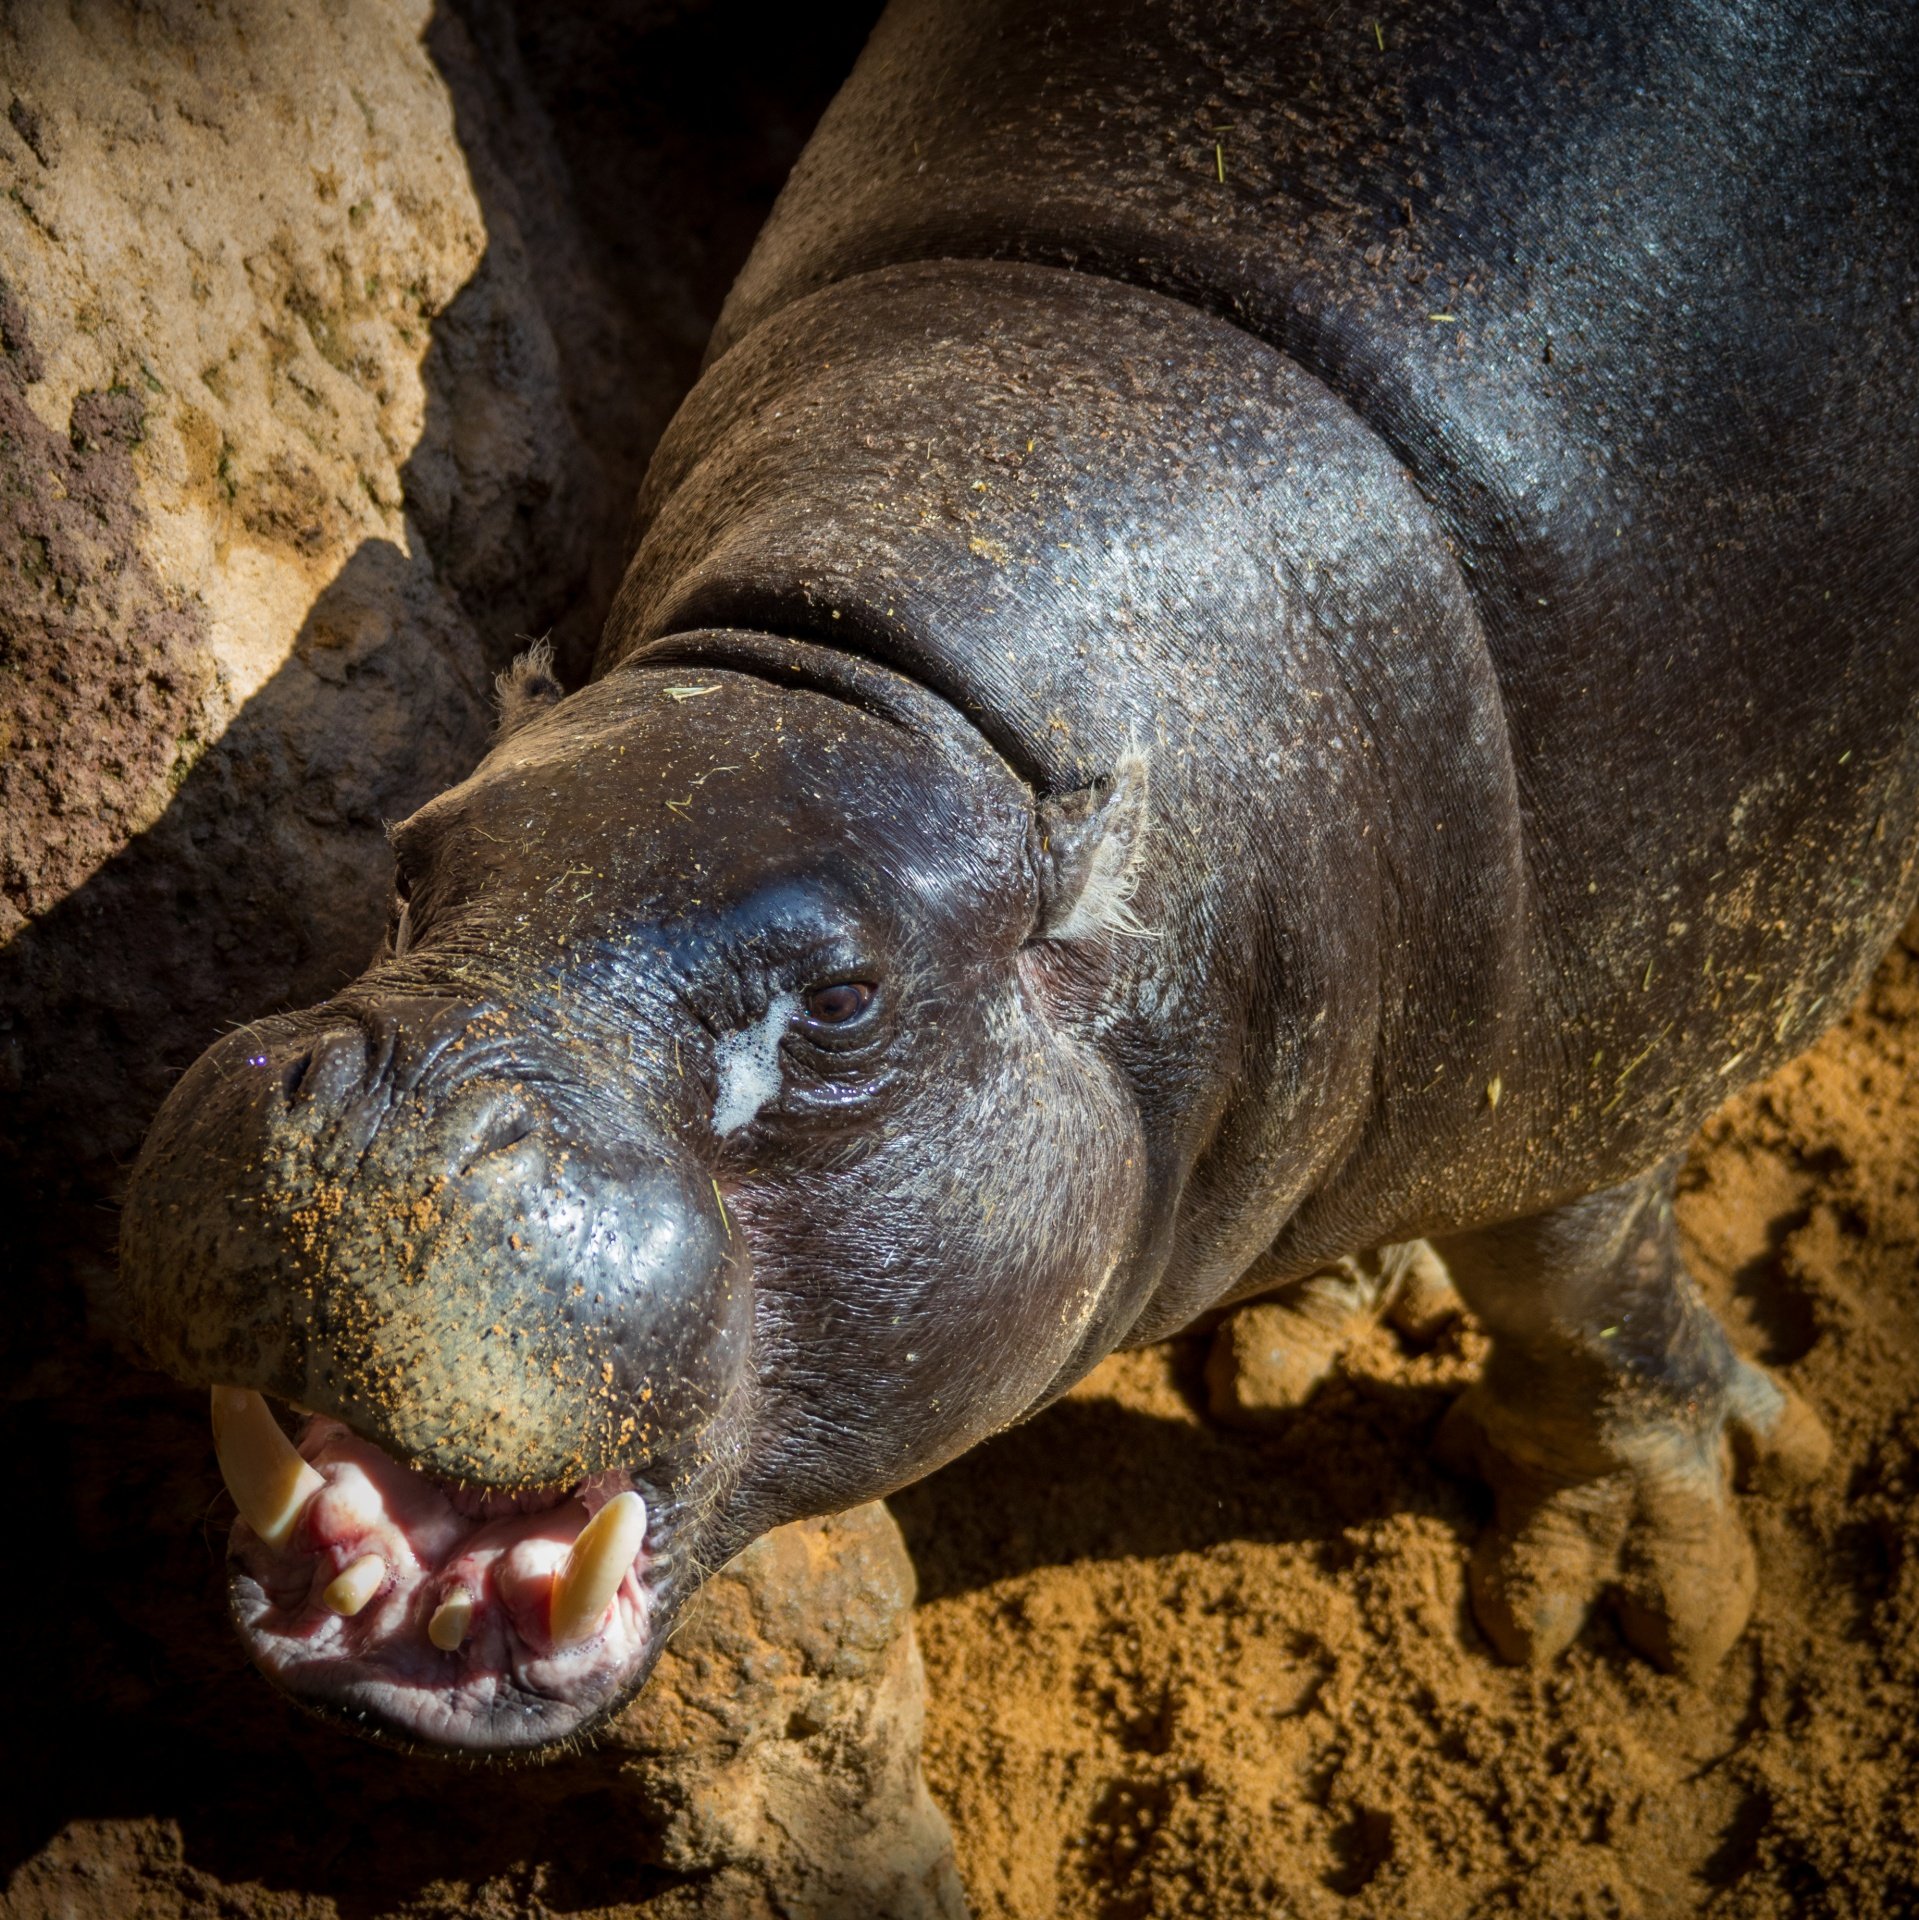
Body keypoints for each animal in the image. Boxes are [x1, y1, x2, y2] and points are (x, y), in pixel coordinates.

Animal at [121, 0, 1919, 1755]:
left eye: (844, 999)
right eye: (413, 863)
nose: (382, 1119)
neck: (872, 679)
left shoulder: (1626, 1042)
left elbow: (1584, 1284)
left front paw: (1641, 1601)